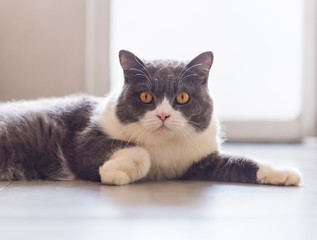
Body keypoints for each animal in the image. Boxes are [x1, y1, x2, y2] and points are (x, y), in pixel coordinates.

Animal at [0, 50, 302, 186]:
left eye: (183, 97)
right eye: (146, 96)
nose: (163, 114)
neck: (164, 148)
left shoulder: (200, 161)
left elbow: (239, 162)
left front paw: (283, 172)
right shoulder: (82, 142)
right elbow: (137, 152)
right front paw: (114, 172)